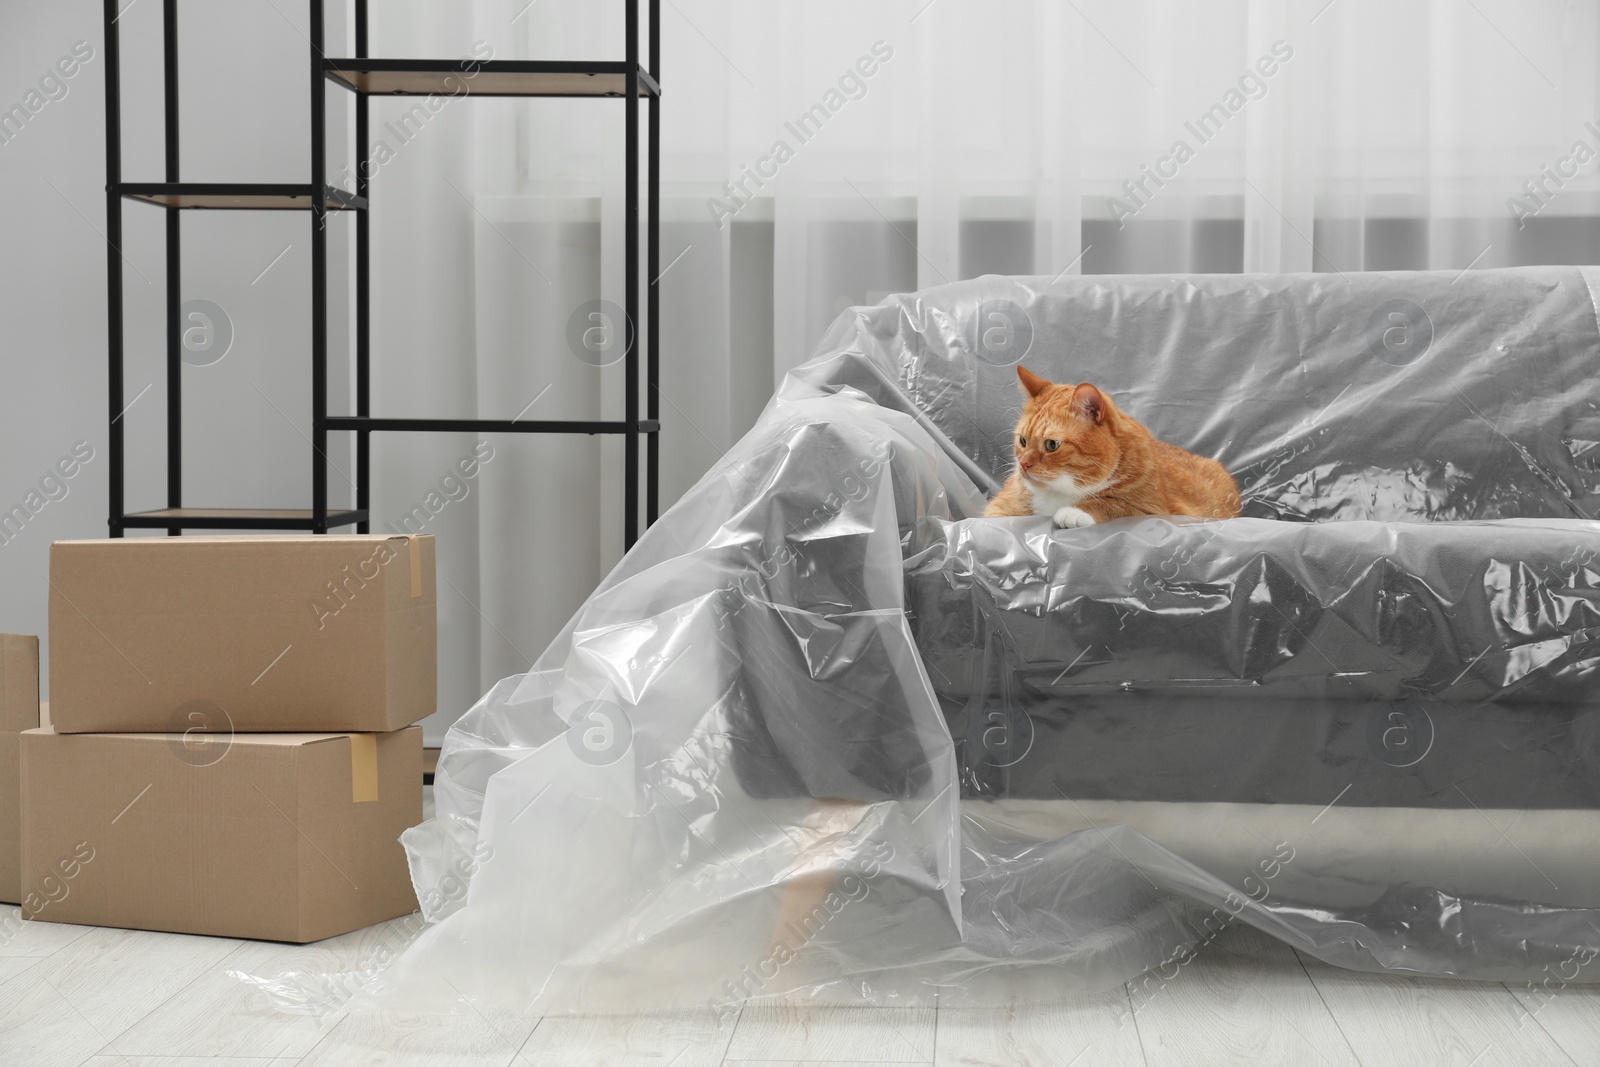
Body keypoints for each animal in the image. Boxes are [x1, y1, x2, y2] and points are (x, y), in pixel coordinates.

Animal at [979, 369, 1241, 527]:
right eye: (1023, 441)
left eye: (1052, 444)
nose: (1023, 464)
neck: (1062, 490)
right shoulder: (997, 510)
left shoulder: (1160, 513)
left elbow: (1115, 503)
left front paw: (1075, 511)